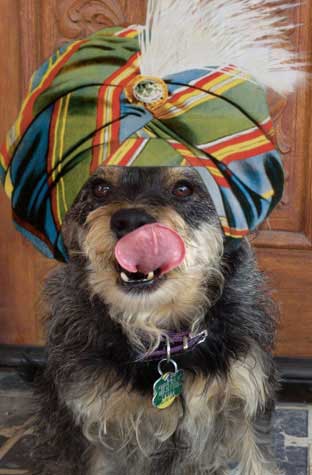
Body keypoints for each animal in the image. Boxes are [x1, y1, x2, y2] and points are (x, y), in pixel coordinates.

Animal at [28, 165, 278, 474]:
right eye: (99, 188)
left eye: (183, 189)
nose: (131, 221)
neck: (165, 338)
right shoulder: (91, 427)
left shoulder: (244, 404)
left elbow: (258, 461)